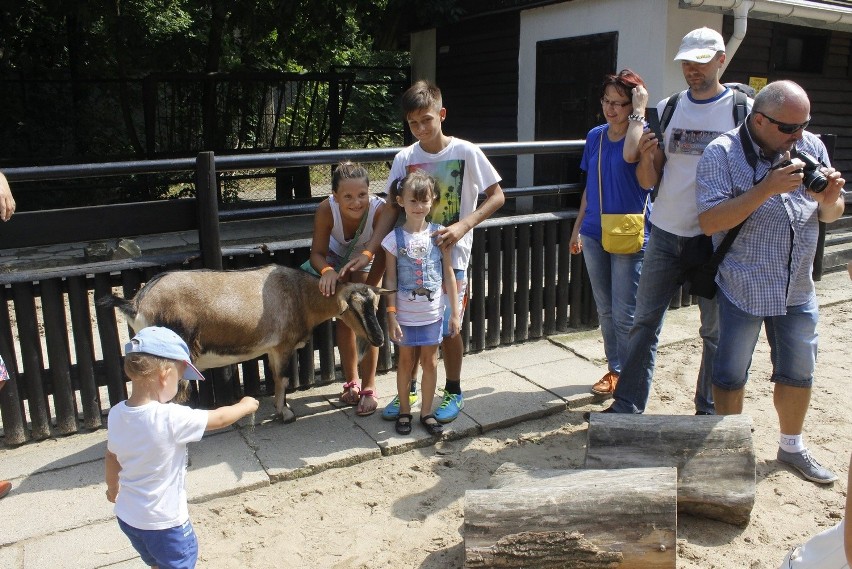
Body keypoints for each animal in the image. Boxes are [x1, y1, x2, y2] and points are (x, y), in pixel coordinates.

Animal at [100, 264, 390, 420]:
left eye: (374, 303)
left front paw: (280, 410)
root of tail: (137, 303)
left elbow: (276, 379)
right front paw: (286, 415)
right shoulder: (283, 346)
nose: (378, 338)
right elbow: (283, 379)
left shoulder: (273, 349)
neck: (299, 294)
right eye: (353, 308)